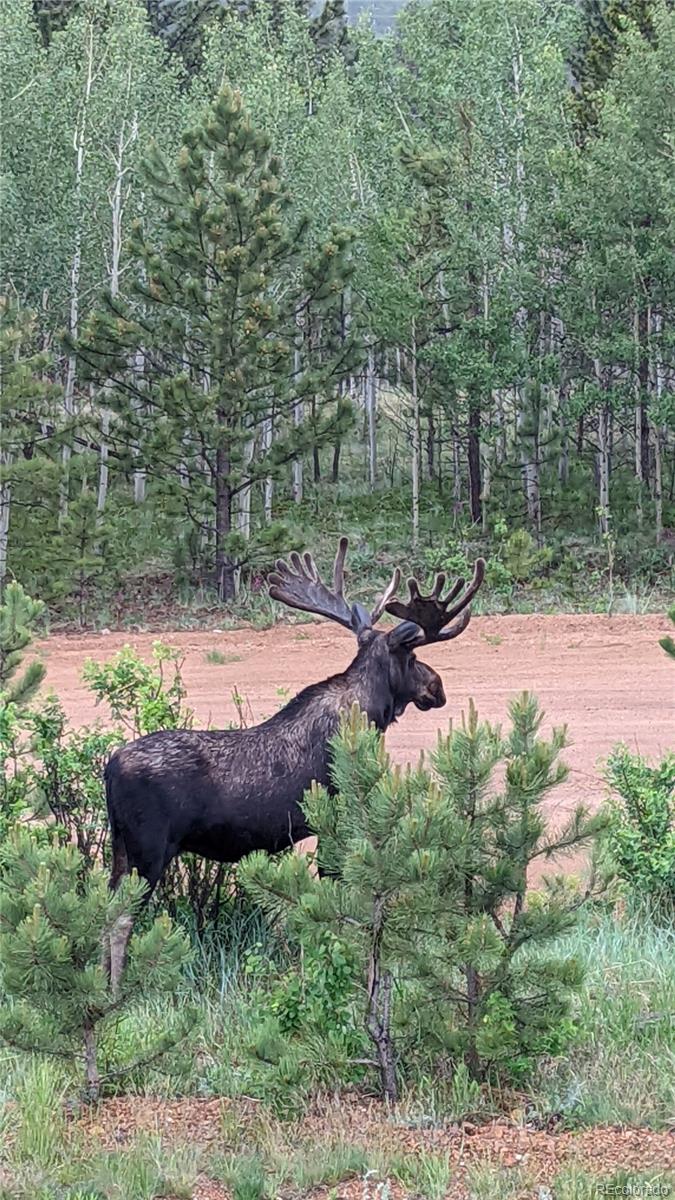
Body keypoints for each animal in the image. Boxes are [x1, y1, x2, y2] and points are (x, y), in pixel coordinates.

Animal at [103, 540, 482, 988]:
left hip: (120, 845)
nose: (437, 687)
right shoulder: (336, 811)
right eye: (412, 656)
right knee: (121, 920)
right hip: (149, 847)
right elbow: (336, 891)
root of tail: (109, 766)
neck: (369, 714)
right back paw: (116, 991)